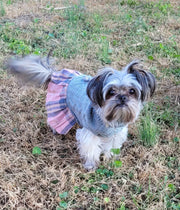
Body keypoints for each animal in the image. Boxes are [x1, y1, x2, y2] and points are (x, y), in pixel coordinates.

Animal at [7, 55, 155, 171]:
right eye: (111, 91)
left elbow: (111, 148)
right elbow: (91, 149)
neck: (109, 120)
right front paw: (91, 165)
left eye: (132, 91)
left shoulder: (116, 134)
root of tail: (54, 74)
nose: (122, 97)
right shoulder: (90, 134)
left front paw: (110, 159)